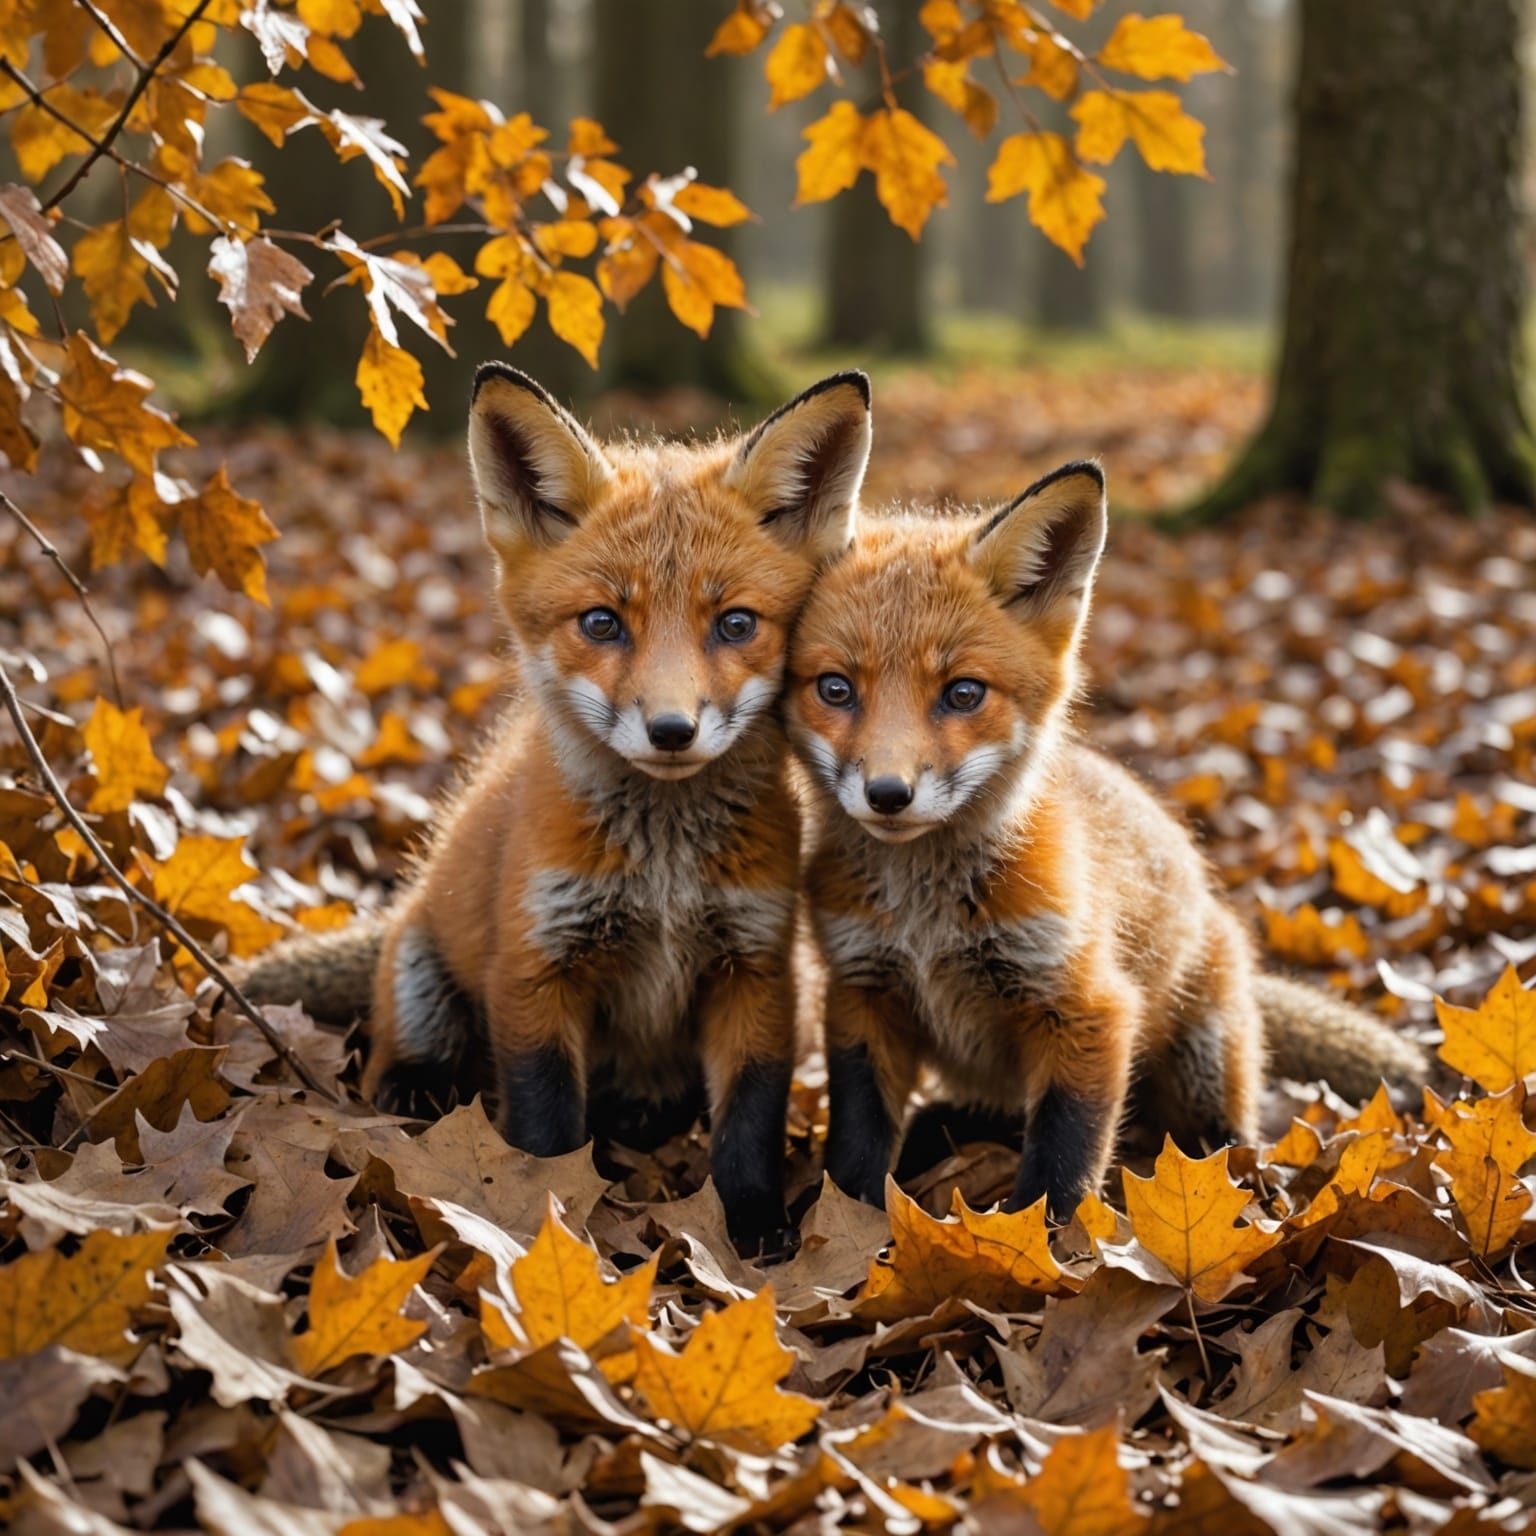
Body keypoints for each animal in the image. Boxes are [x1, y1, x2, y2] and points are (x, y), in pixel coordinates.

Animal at [239, 362, 875, 1245]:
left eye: (736, 623)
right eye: (602, 623)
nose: (671, 730)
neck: (665, 871)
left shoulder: (755, 969)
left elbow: (749, 1117)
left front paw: (753, 1223)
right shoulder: (536, 964)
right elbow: (545, 1127)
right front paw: (534, 1217)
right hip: (424, 984)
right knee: (406, 1058)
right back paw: (412, 1091)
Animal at [785, 462, 1428, 1221]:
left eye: (963, 693)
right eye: (835, 688)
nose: (889, 793)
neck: (927, 919)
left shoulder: (1089, 1007)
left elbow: (1063, 1164)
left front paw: (1049, 1244)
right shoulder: (864, 990)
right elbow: (858, 1137)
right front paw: (844, 1217)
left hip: (1204, 1071)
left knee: (1220, 1141)